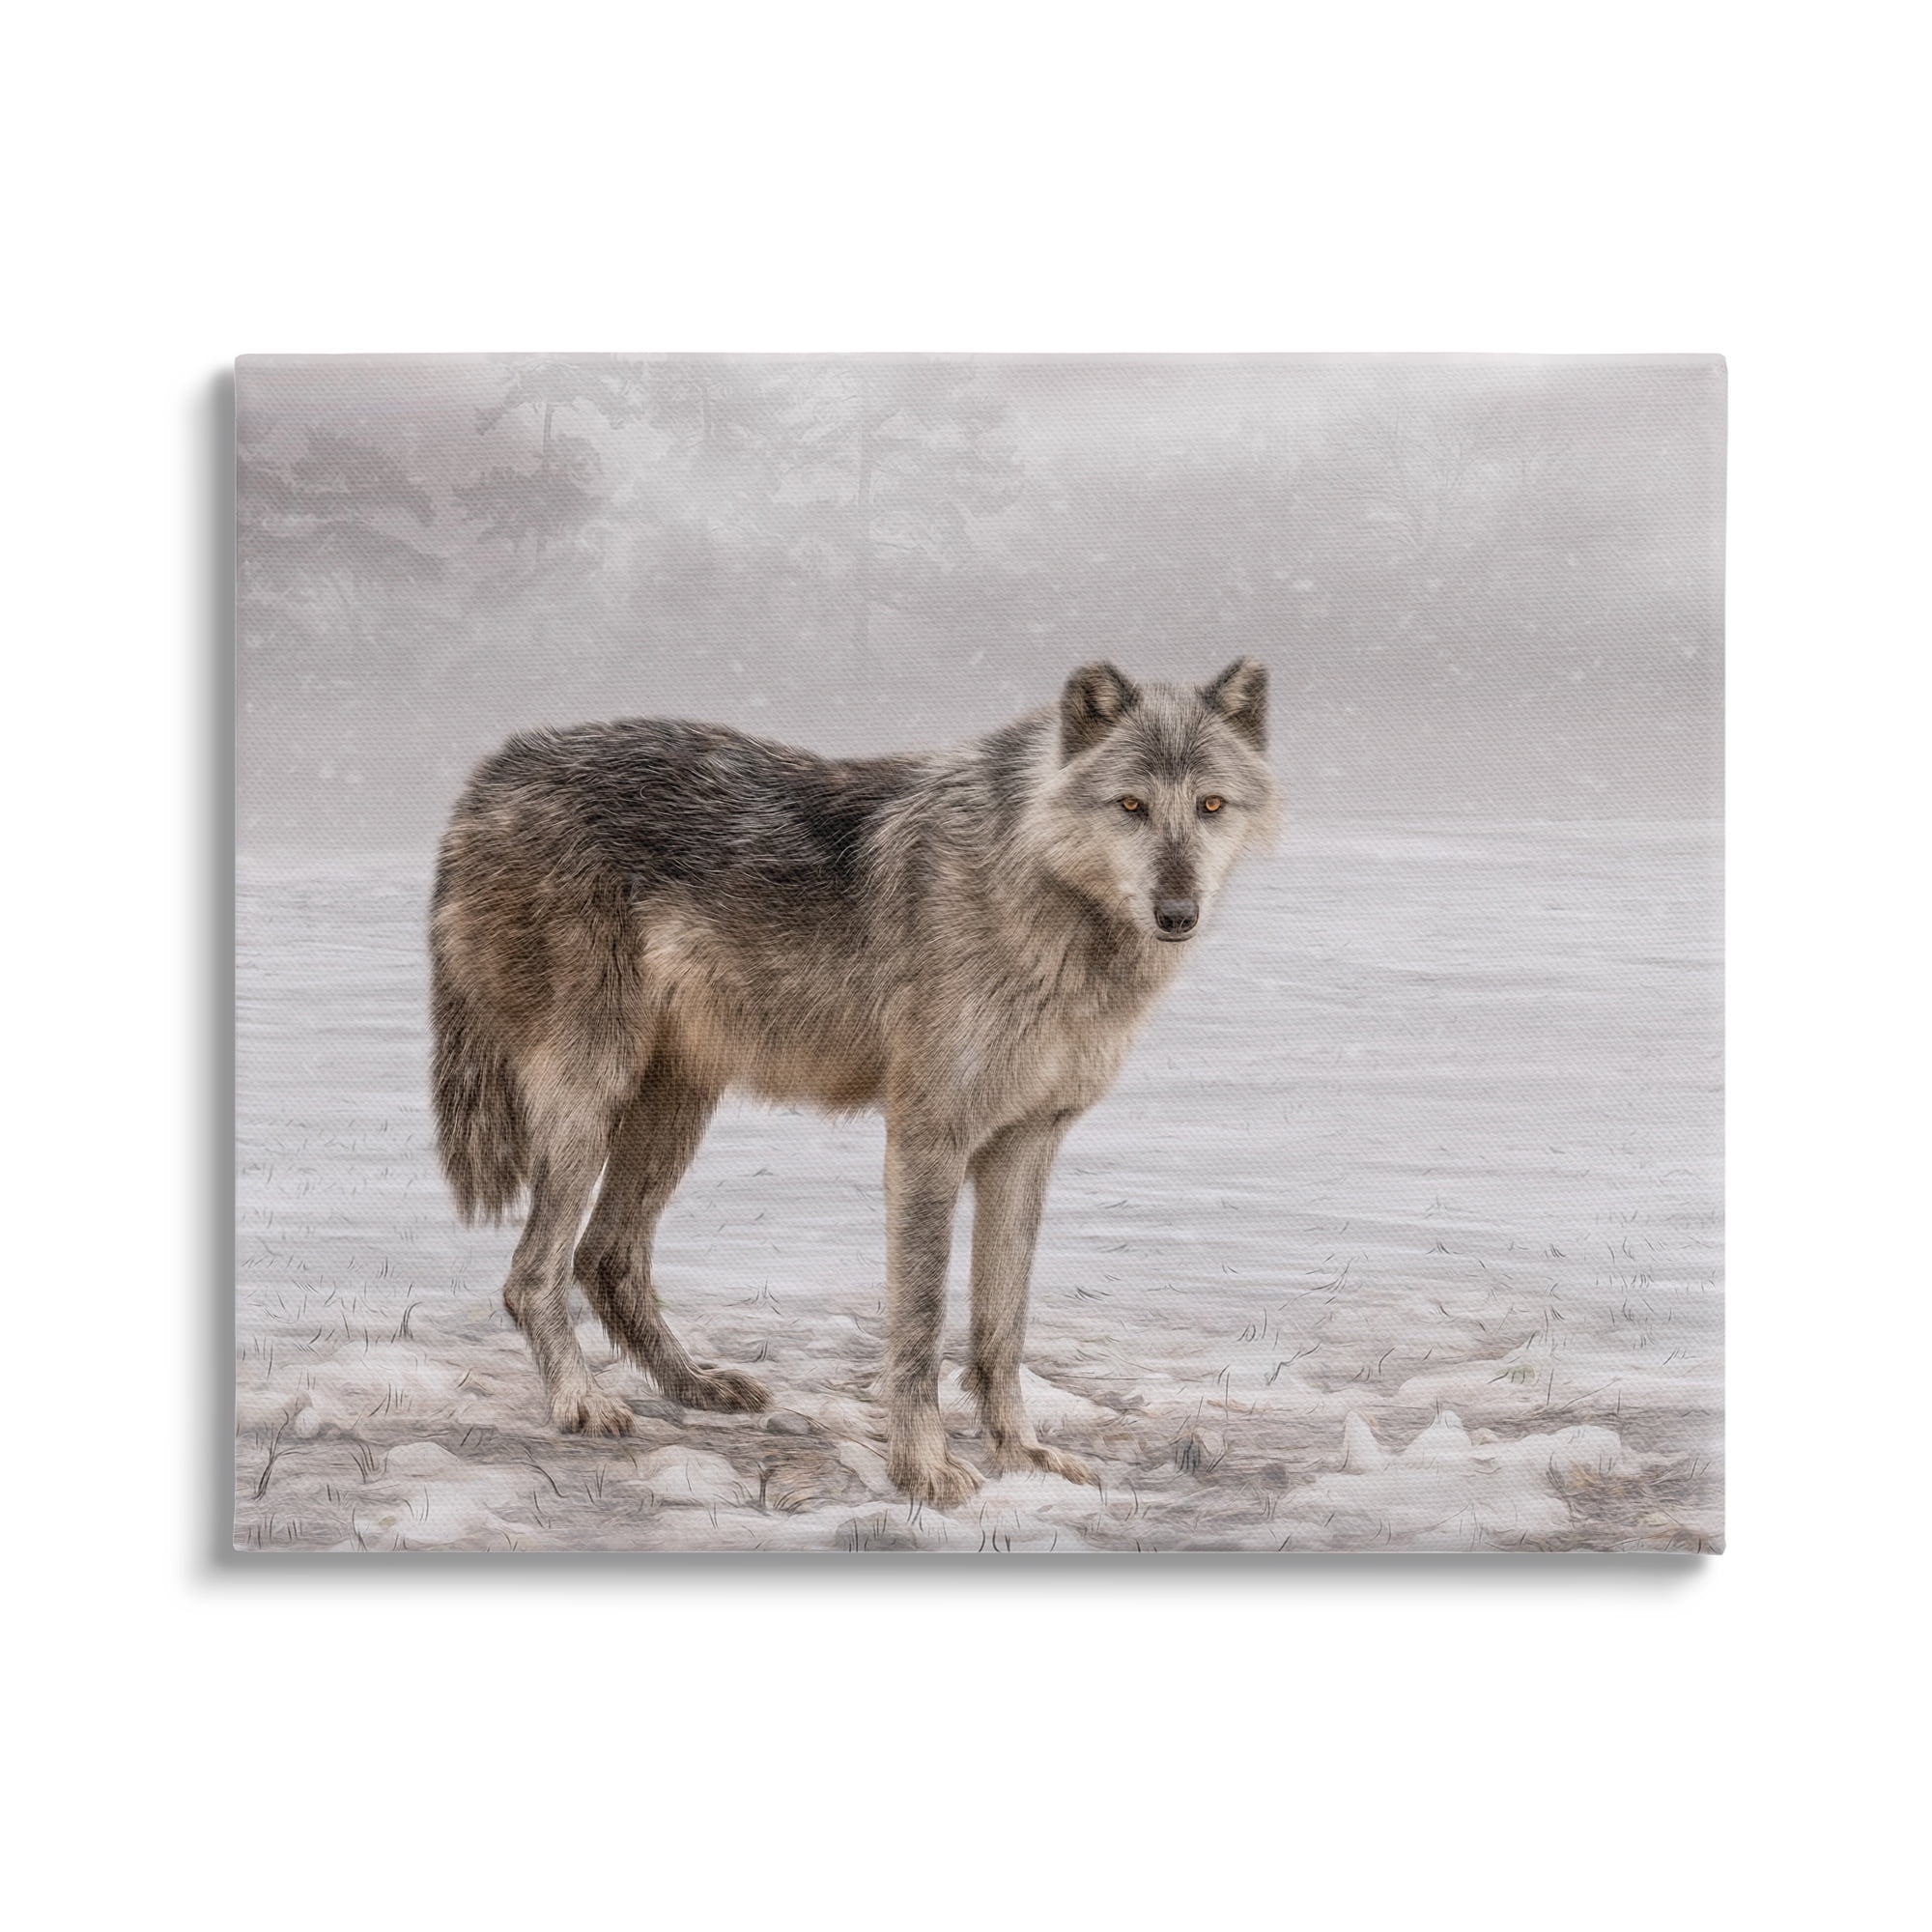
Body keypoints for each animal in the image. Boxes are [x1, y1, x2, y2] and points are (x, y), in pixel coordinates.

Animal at [430, 658, 1279, 1505]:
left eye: (1210, 806)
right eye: (1131, 805)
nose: (1177, 912)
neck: (1040, 895)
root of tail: (493, 771)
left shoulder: (1027, 1143)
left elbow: (1002, 1329)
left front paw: (1023, 1458)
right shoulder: (929, 1136)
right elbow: (921, 1323)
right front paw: (924, 1469)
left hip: (676, 1105)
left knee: (606, 1258)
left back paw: (696, 1386)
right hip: (591, 1098)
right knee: (533, 1274)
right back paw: (581, 1403)